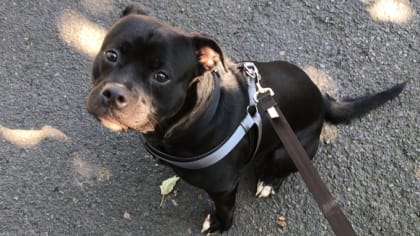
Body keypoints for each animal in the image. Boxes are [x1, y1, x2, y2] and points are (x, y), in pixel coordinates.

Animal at [87, 4, 406, 233]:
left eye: (161, 76)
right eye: (111, 55)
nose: (113, 94)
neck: (194, 115)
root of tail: (322, 98)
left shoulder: (225, 187)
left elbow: (226, 209)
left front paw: (220, 225)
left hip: (287, 152)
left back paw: (269, 182)